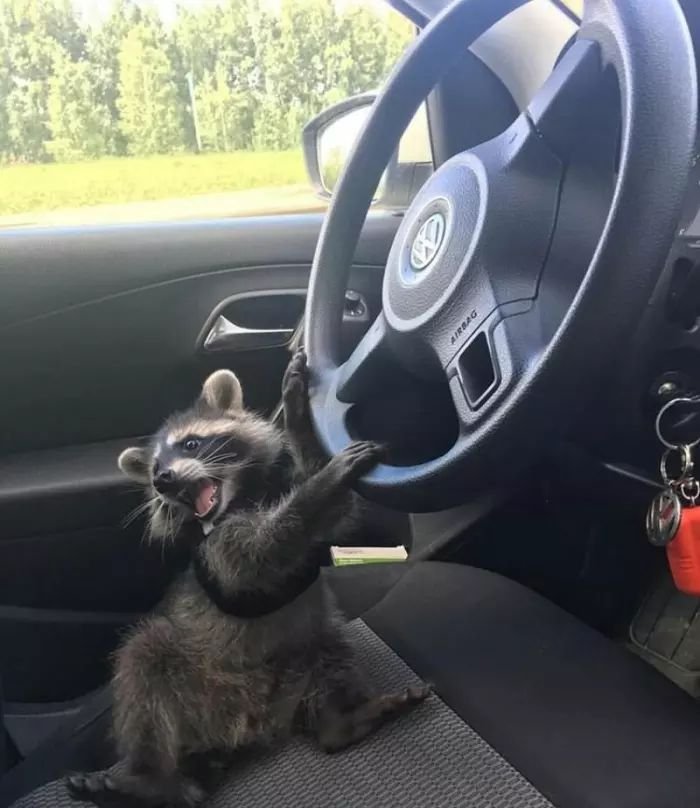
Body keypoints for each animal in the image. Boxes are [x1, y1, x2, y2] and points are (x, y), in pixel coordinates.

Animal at [67, 350, 429, 808]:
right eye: (155, 467)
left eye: (191, 444)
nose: (161, 480)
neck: (240, 494)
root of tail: (251, 721)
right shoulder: (217, 547)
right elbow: (259, 554)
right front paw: (324, 479)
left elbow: (334, 515)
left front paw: (300, 420)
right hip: (189, 678)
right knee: (143, 657)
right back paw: (149, 778)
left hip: (301, 655)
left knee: (330, 650)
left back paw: (342, 721)